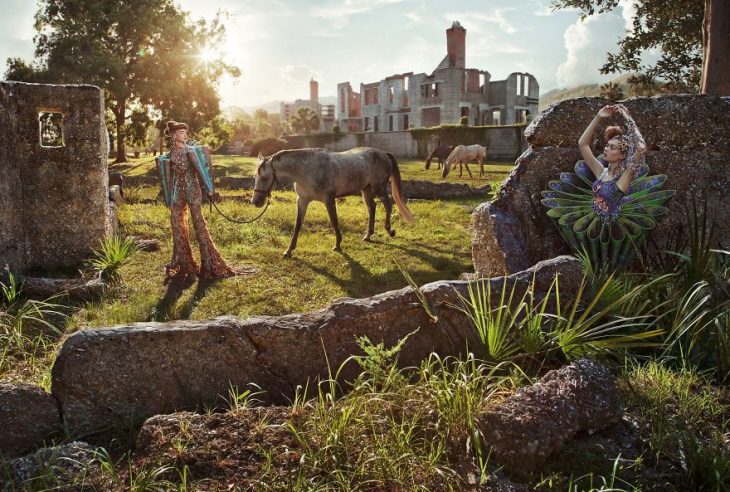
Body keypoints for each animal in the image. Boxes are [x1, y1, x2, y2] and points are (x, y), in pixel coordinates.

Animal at [250, 147, 412, 258]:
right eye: (255, 177)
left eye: (265, 177)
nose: (255, 201)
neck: (306, 170)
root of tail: (384, 153)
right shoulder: (302, 200)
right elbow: (297, 225)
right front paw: (289, 251)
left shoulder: (329, 199)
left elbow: (334, 221)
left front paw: (338, 245)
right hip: (366, 189)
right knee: (372, 208)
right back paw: (368, 235)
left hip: (379, 188)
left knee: (388, 204)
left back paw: (390, 230)